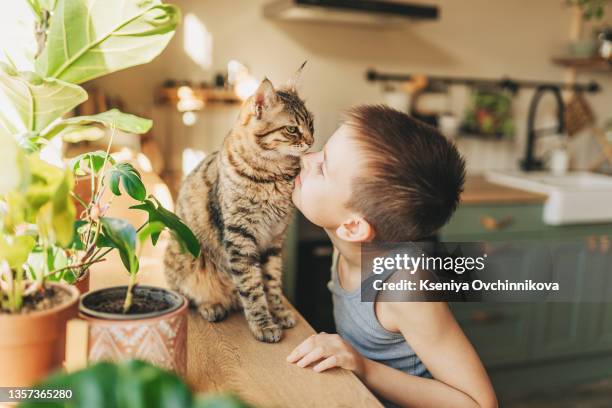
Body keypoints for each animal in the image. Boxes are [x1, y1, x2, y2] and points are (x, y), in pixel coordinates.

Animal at [165, 65, 314, 342]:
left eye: (311, 123)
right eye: (292, 129)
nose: (311, 142)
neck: (275, 176)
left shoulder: (274, 239)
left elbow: (271, 283)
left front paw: (278, 312)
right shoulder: (240, 237)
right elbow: (252, 288)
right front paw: (263, 324)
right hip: (186, 258)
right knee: (190, 296)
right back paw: (212, 306)